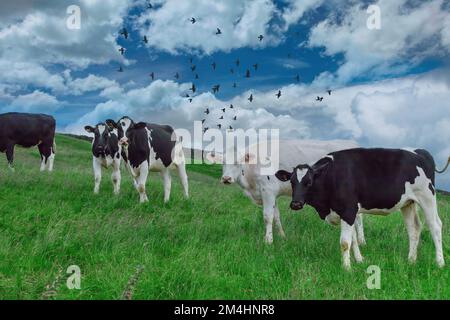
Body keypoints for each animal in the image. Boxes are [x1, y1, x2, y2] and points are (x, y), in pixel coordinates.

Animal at [207, 140, 366, 245]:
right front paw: (282, 237)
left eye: (237, 162)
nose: (226, 178)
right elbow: (276, 216)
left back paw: (361, 241)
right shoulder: (272, 195)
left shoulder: (268, 191)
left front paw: (268, 241)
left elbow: (267, 217)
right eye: (222, 163)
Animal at [276, 148, 448, 270]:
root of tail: (420, 152)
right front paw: (359, 260)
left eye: (309, 182)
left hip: (427, 196)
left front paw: (346, 268)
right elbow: (353, 239)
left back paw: (440, 262)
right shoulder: (348, 213)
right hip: (408, 203)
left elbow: (345, 242)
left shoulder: (348, 210)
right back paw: (411, 260)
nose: (295, 204)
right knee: (414, 229)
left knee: (435, 226)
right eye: (291, 182)